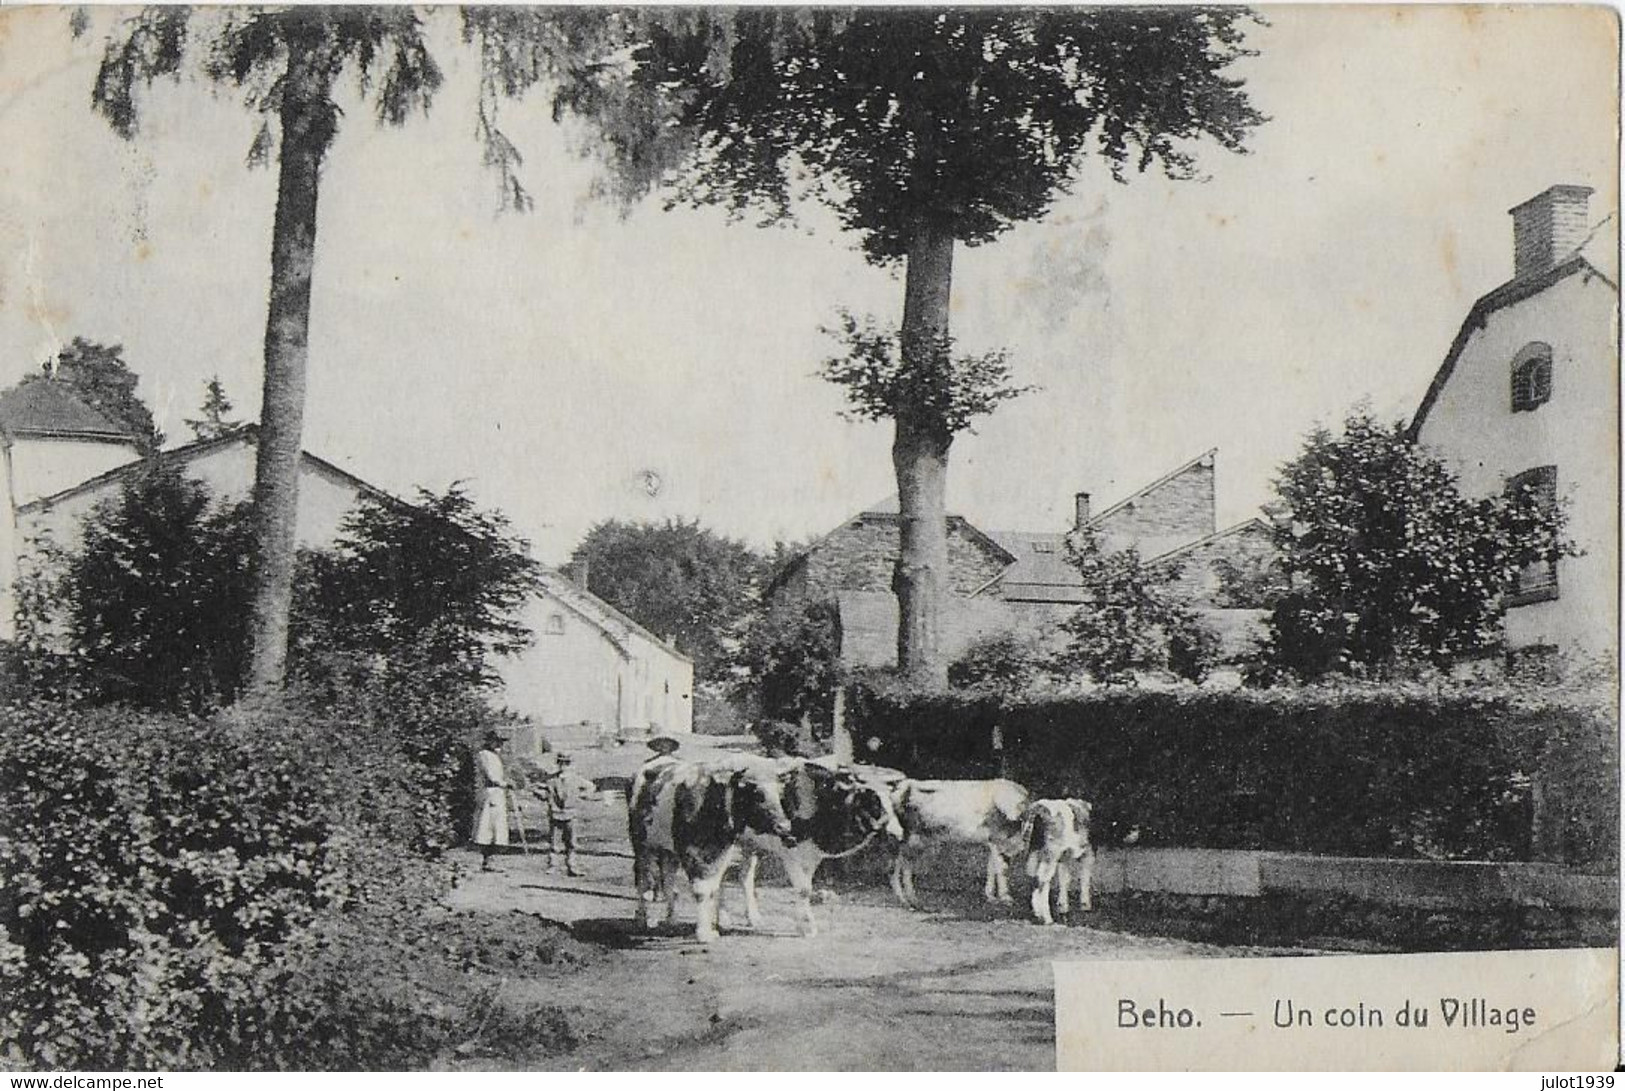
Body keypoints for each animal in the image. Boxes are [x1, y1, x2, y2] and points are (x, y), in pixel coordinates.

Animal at [627, 754, 793, 943]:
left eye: (779, 793)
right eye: (758, 793)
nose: (784, 826)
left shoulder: (723, 853)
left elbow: (715, 887)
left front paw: (713, 925)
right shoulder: (691, 853)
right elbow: (702, 890)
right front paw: (703, 932)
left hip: (668, 851)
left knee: (668, 881)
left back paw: (672, 920)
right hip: (642, 845)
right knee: (643, 880)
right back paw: (642, 918)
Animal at [744, 760, 910, 936]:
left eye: (891, 800)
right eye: (871, 799)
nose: (897, 833)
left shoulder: (812, 857)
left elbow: (807, 888)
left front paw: (803, 925)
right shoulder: (790, 853)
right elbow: (803, 889)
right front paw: (807, 927)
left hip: (749, 845)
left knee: (746, 877)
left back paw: (753, 919)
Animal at [890, 780, 1027, 910]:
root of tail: (906, 784)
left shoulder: (995, 843)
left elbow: (991, 868)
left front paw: (991, 896)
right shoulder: (997, 839)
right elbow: (1001, 869)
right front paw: (1005, 898)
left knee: (901, 863)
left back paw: (908, 900)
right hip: (911, 838)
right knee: (900, 865)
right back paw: (907, 900)